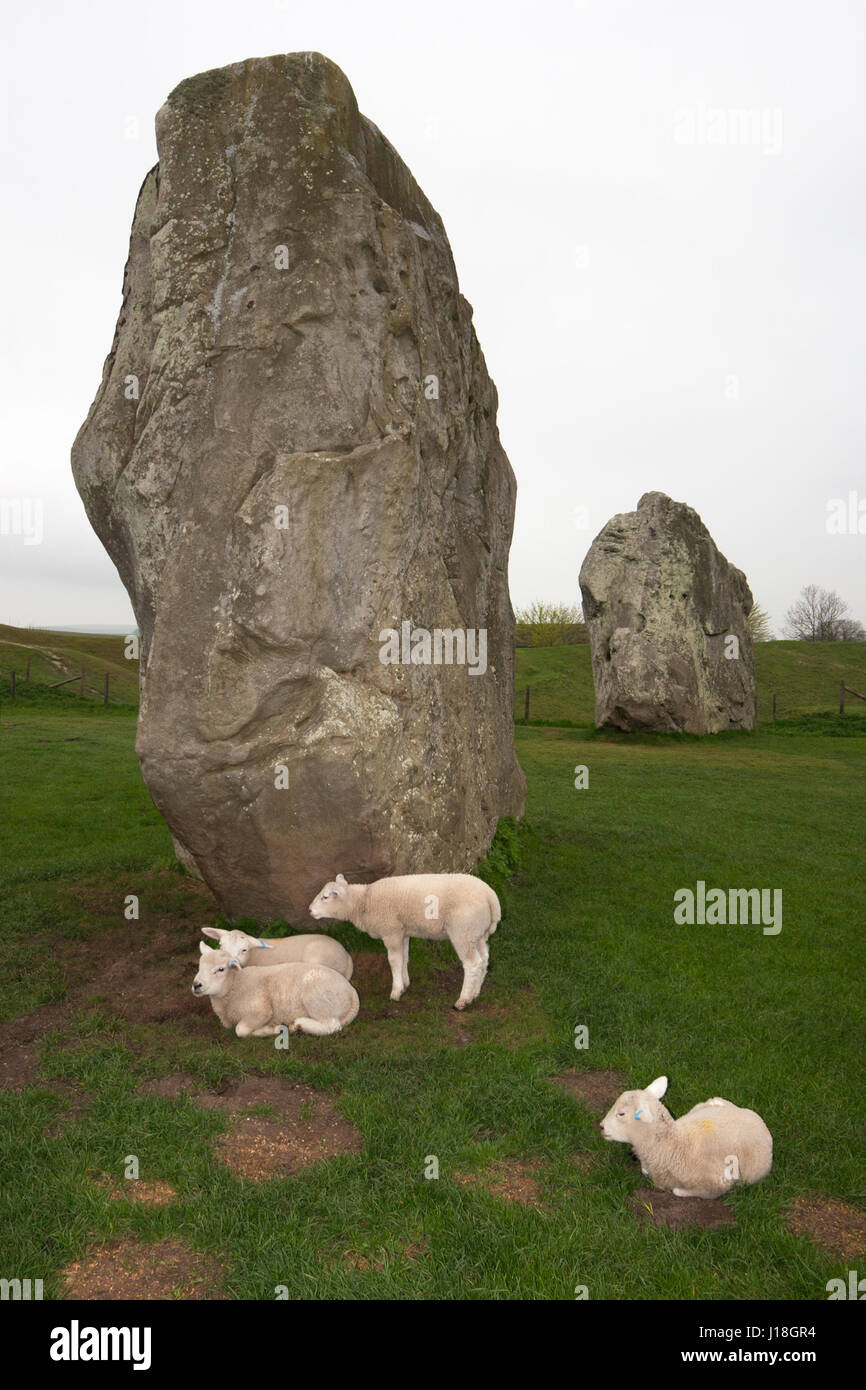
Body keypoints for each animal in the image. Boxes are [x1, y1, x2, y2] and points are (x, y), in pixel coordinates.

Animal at [191, 939, 358, 1039]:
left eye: (221, 969)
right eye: (199, 966)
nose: (196, 985)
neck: (235, 985)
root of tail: (351, 991)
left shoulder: (260, 1010)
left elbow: (241, 1030)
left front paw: (271, 1029)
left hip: (317, 1000)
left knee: (332, 1025)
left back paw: (300, 1024)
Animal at [309, 867, 500, 1011]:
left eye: (325, 897)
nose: (310, 910)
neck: (364, 901)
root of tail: (491, 897)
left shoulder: (391, 931)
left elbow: (394, 960)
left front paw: (395, 991)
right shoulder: (403, 932)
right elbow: (404, 957)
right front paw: (405, 983)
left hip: (463, 931)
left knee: (472, 964)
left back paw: (463, 1000)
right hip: (477, 933)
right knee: (484, 960)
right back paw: (475, 994)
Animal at [600, 1073, 778, 1195]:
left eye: (621, 1114)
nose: (601, 1127)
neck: (674, 1145)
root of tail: (759, 1121)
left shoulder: (718, 1184)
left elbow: (677, 1191)